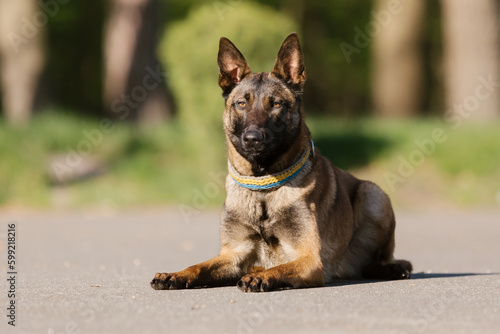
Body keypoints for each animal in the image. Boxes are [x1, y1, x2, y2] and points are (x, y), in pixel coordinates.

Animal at [150, 32, 412, 290]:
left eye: (275, 104)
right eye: (241, 103)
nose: (252, 138)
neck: (263, 186)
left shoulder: (309, 260)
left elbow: (280, 268)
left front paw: (262, 277)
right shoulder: (233, 254)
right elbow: (199, 266)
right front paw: (176, 274)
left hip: (372, 195)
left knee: (380, 260)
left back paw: (392, 268)